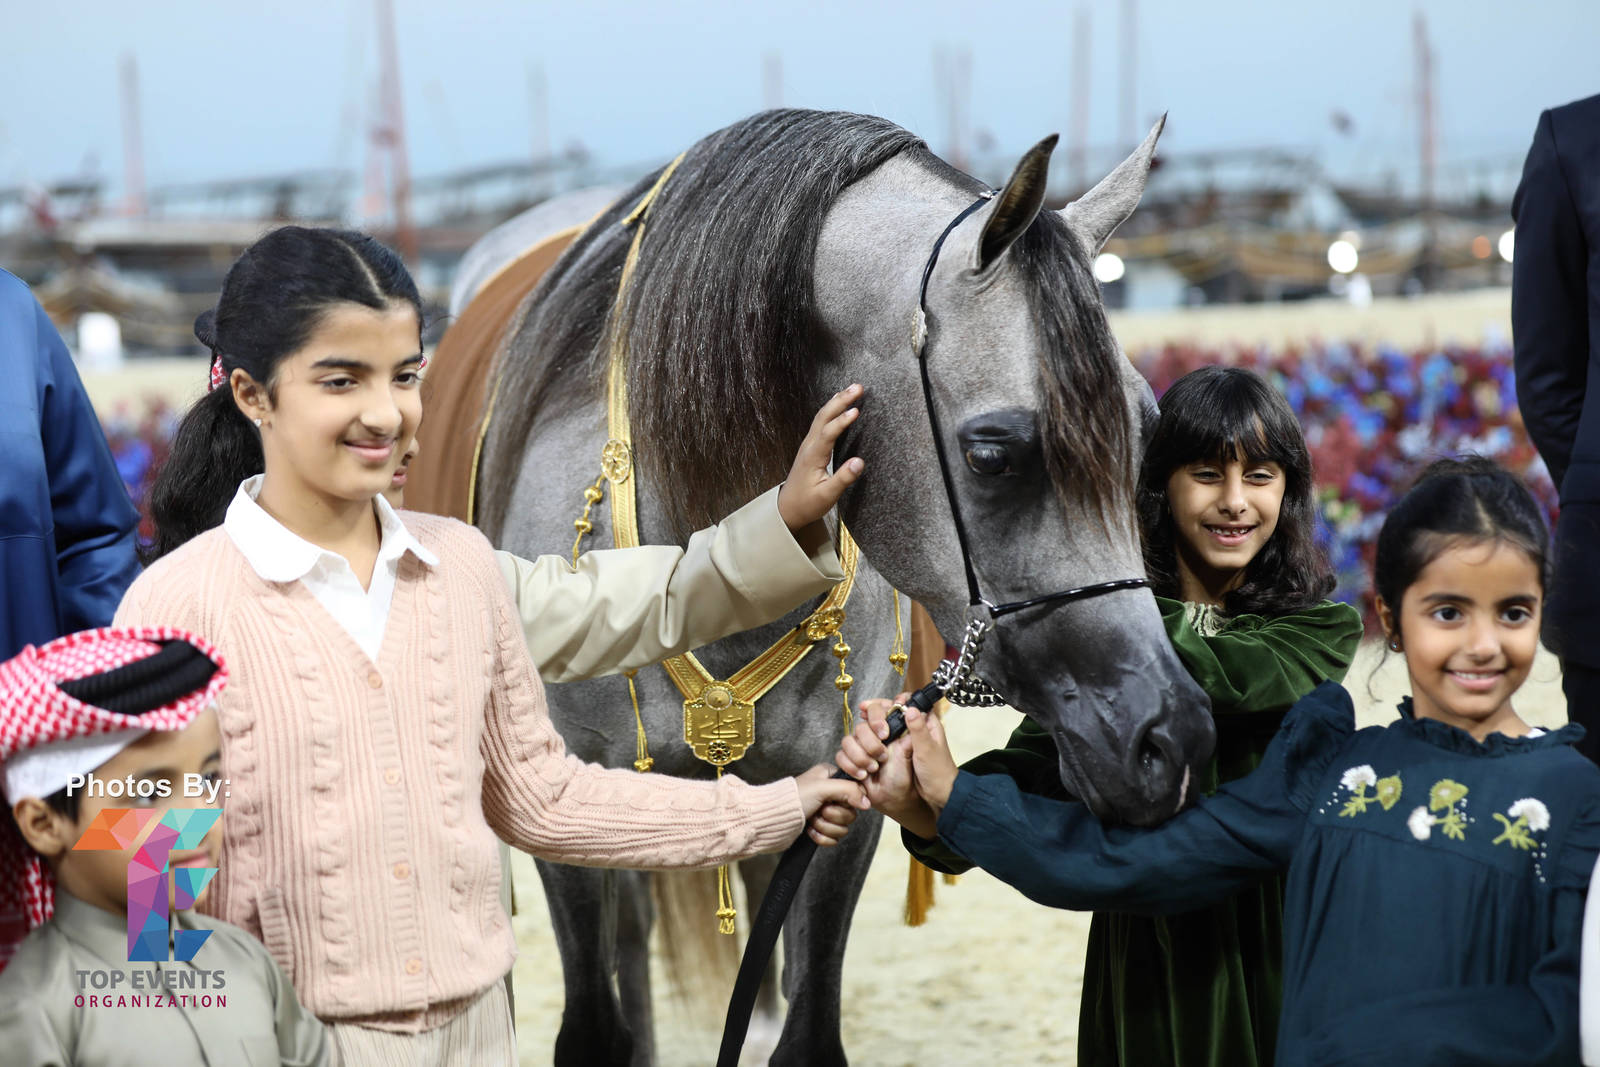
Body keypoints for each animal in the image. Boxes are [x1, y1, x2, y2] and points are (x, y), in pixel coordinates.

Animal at [463, 109, 1214, 1066]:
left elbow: (806, 1020)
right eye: (991, 453)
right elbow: (598, 1024)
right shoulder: (562, 817)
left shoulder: (839, 800)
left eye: (1147, 429)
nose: (1171, 738)